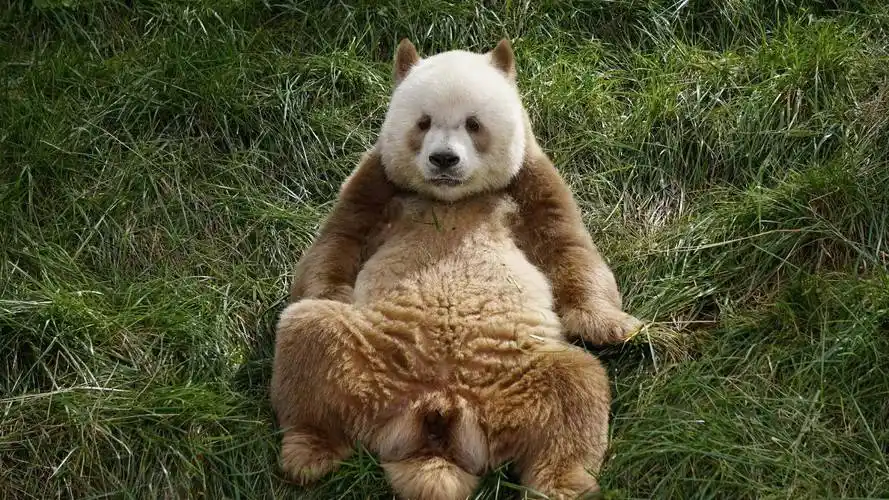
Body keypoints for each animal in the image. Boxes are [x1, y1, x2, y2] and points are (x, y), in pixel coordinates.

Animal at [271, 39, 639, 499]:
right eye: (423, 122)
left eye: (474, 124)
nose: (444, 159)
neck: (451, 197)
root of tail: (438, 411)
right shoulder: (379, 179)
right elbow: (339, 238)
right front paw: (334, 291)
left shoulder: (527, 178)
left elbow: (567, 247)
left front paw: (612, 325)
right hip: (366, 358)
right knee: (311, 338)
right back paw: (308, 453)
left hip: (516, 380)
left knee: (574, 390)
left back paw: (561, 484)